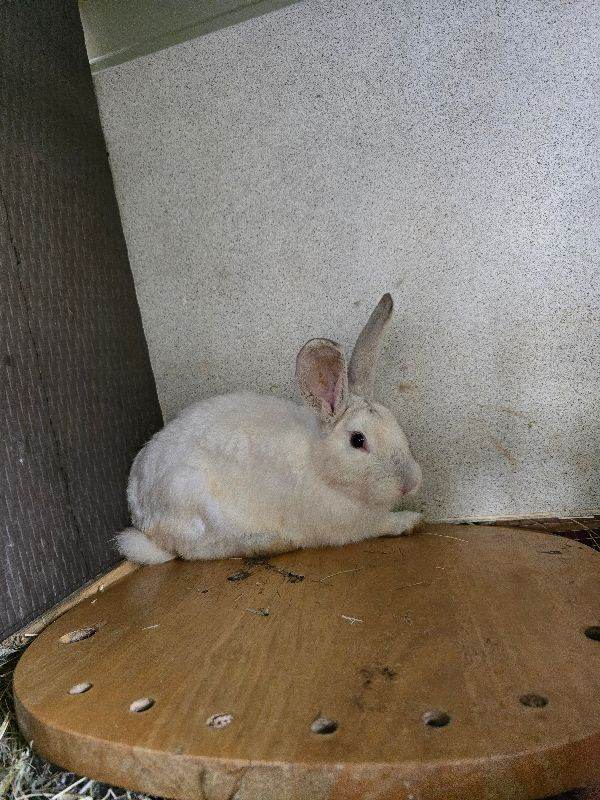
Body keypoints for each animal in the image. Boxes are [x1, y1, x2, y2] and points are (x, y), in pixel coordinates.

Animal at [117, 294, 423, 564]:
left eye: (395, 424)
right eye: (358, 440)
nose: (410, 483)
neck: (320, 464)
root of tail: (143, 521)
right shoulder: (349, 525)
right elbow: (380, 524)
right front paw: (411, 520)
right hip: (194, 501)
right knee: (197, 552)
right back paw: (274, 543)